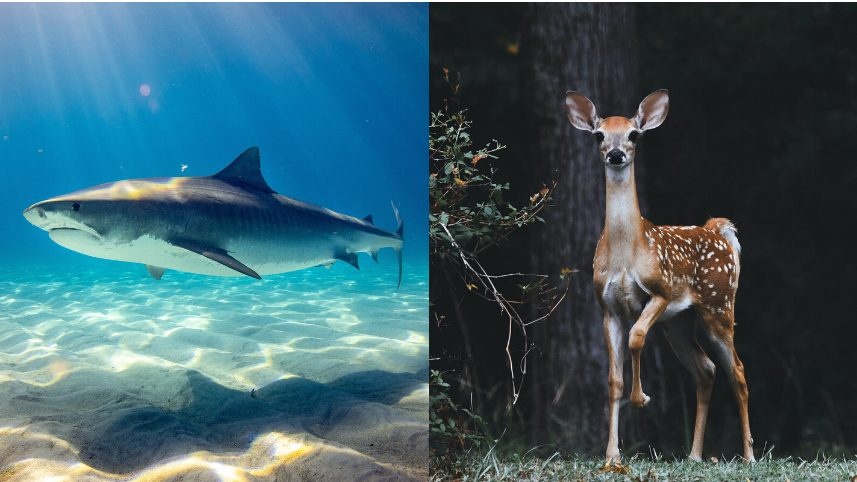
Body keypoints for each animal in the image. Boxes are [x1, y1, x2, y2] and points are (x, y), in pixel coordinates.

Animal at [564, 90, 754, 463]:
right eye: (599, 135)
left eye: (634, 134)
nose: (616, 154)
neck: (626, 254)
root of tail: (719, 231)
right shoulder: (607, 307)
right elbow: (613, 380)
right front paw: (612, 455)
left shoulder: (660, 291)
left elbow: (637, 337)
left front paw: (641, 399)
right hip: (678, 323)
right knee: (706, 370)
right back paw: (694, 455)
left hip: (719, 305)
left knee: (737, 371)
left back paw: (749, 456)